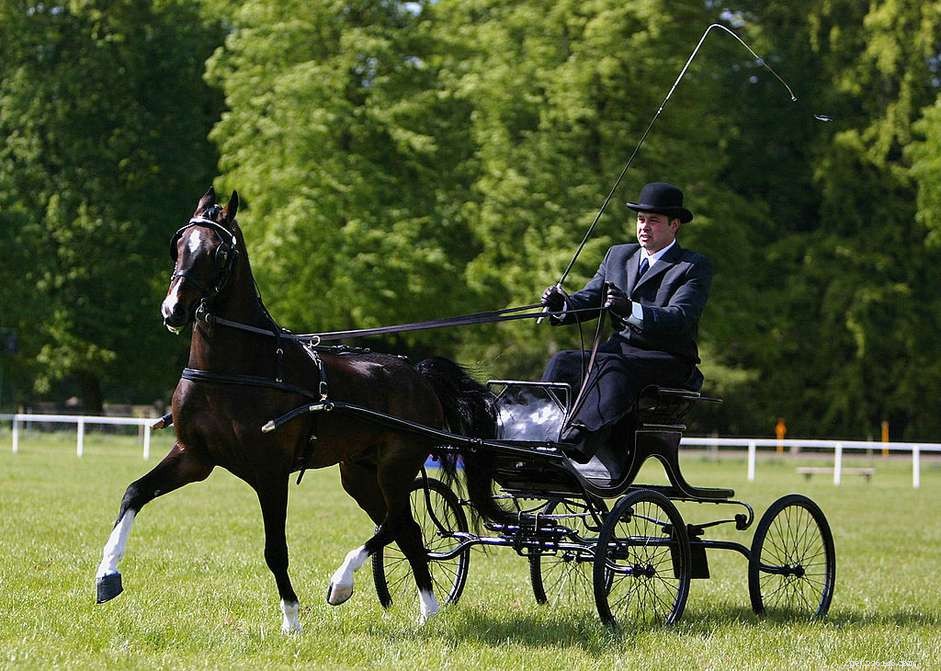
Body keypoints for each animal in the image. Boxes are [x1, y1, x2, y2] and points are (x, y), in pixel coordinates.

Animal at [94, 187, 504, 632]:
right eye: (179, 245)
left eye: (220, 253)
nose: (174, 310)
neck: (234, 370)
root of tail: (418, 374)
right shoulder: (195, 456)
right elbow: (134, 493)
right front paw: (107, 574)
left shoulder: (270, 471)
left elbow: (275, 548)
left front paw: (291, 620)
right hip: (360, 473)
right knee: (405, 529)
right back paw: (426, 613)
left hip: (397, 466)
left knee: (398, 522)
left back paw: (347, 584)